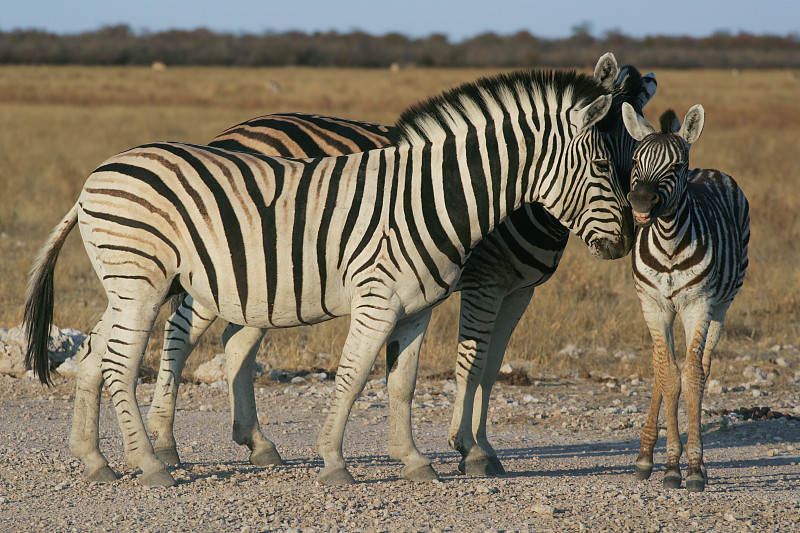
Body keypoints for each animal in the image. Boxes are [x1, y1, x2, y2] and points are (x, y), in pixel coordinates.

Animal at [620, 103, 752, 490]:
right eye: (636, 160)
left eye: (676, 166)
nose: (641, 200)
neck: (667, 240)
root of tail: (708, 170)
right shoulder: (653, 304)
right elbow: (667, 375)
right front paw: (667, 464)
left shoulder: (698, 305)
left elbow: (692, 377)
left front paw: (691, 466)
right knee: (661, 368)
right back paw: (645, 456)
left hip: (722, 306)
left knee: (703, 368)